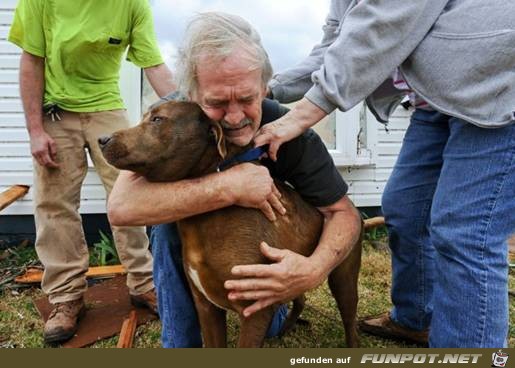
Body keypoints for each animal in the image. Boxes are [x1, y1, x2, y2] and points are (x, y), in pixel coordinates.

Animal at [99, 101, 360, 348]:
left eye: (157, 119)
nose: (102, 139)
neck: (204, 220)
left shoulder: (255, 310)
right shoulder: (206, 307)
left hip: (342, 279)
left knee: (349, 321)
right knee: (300, 297)